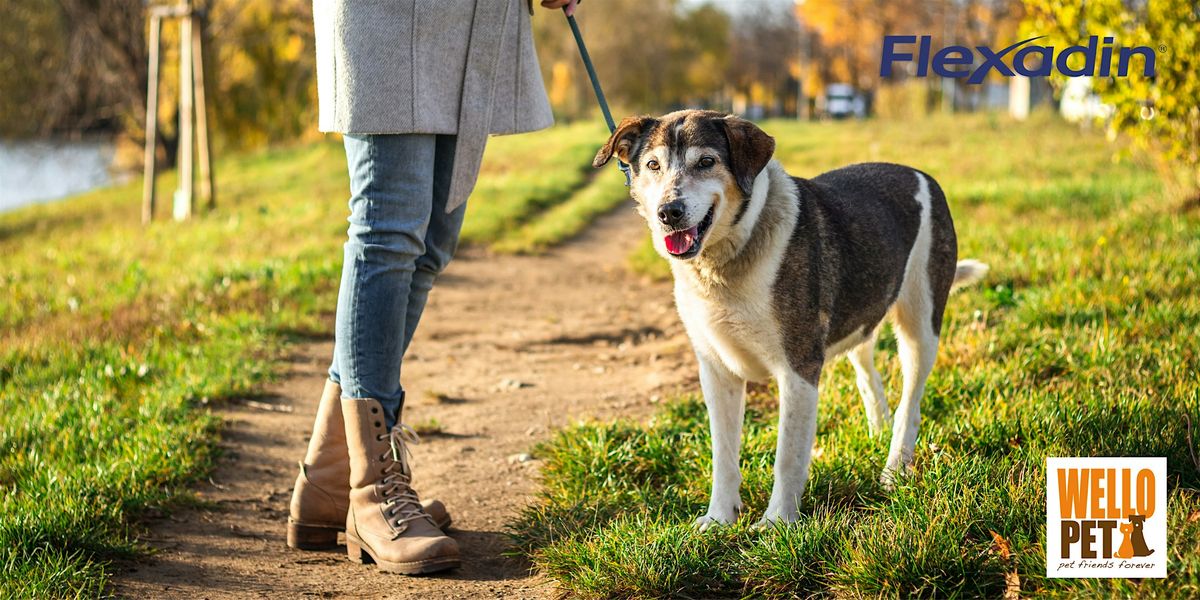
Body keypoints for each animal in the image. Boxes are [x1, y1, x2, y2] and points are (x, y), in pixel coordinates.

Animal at [595, 110, 988, 528]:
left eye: (706, 162)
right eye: (653, 165)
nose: (669, 212)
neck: (729, 257)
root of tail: (920, 174)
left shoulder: (798, 369)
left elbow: (787, 456)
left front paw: (777, 523)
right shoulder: (717, 372)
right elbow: (723, 455)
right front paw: (719, 519)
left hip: (921, 322)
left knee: (910, 402)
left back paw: (894, 467)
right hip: (863, 314)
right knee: (868, 374)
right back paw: (877, 433)